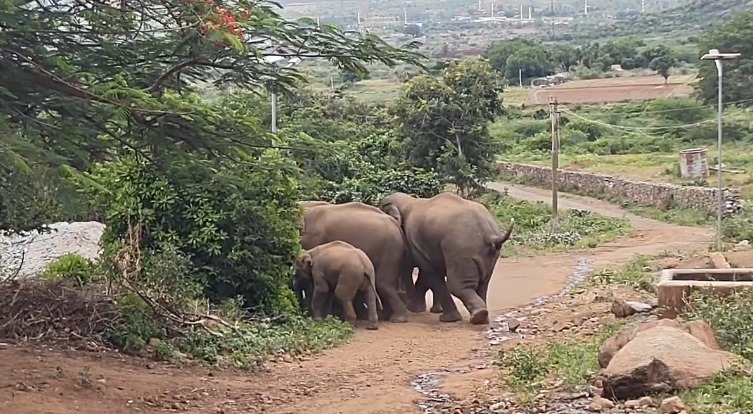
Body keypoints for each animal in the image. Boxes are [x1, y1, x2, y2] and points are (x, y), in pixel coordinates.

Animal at [379, 191, 514, 325]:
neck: (409, 201)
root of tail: (489, 235)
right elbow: (426, 273)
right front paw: (417, 308)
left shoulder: (414, 242)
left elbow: (429, 272)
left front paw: (416, 309)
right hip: (489, 255)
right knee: (483, 283)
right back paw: (482, 318)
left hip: (461, 250)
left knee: (456, 285)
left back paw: (476, 316)